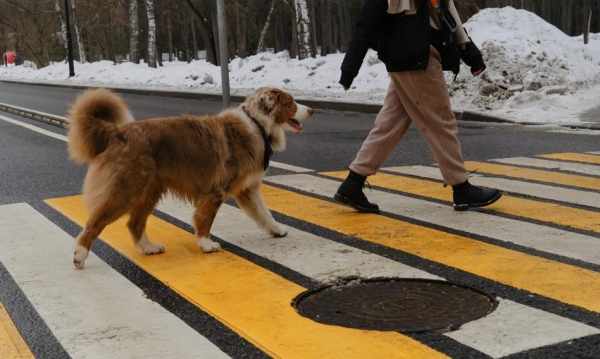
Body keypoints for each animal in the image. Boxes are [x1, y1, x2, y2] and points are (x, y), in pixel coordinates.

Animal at [67, 87, 314, 268]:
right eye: (291, 102)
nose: (311, 110)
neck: (257, 124)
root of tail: (116, 133)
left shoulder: (247, 190)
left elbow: (264, 213)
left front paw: (277, 230)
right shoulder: (216, 190)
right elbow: (205, 219)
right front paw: (206, 244)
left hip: (149, 191)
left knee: (134, 223)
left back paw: (148, 248)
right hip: (126, 190)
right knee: (95, 222)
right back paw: (79, 255)